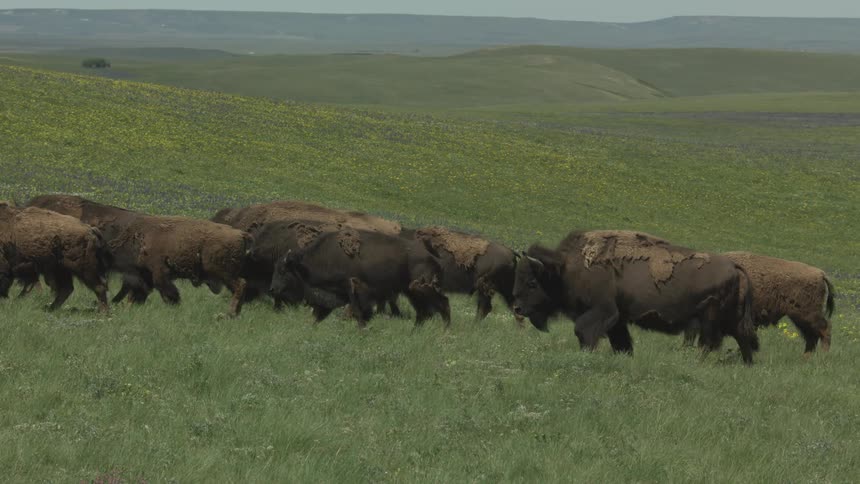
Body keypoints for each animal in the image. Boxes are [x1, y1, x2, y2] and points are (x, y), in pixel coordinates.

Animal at [513, 230, 757, 364]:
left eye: (532, 282)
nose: (517, 308)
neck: (564, 269)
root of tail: (735, 267)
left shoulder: (602, 311)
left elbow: (583, 331)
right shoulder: (617, 319)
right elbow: (621, 342)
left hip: (709, 319)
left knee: (709, 344)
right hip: (730, 319)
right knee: (744, 339)